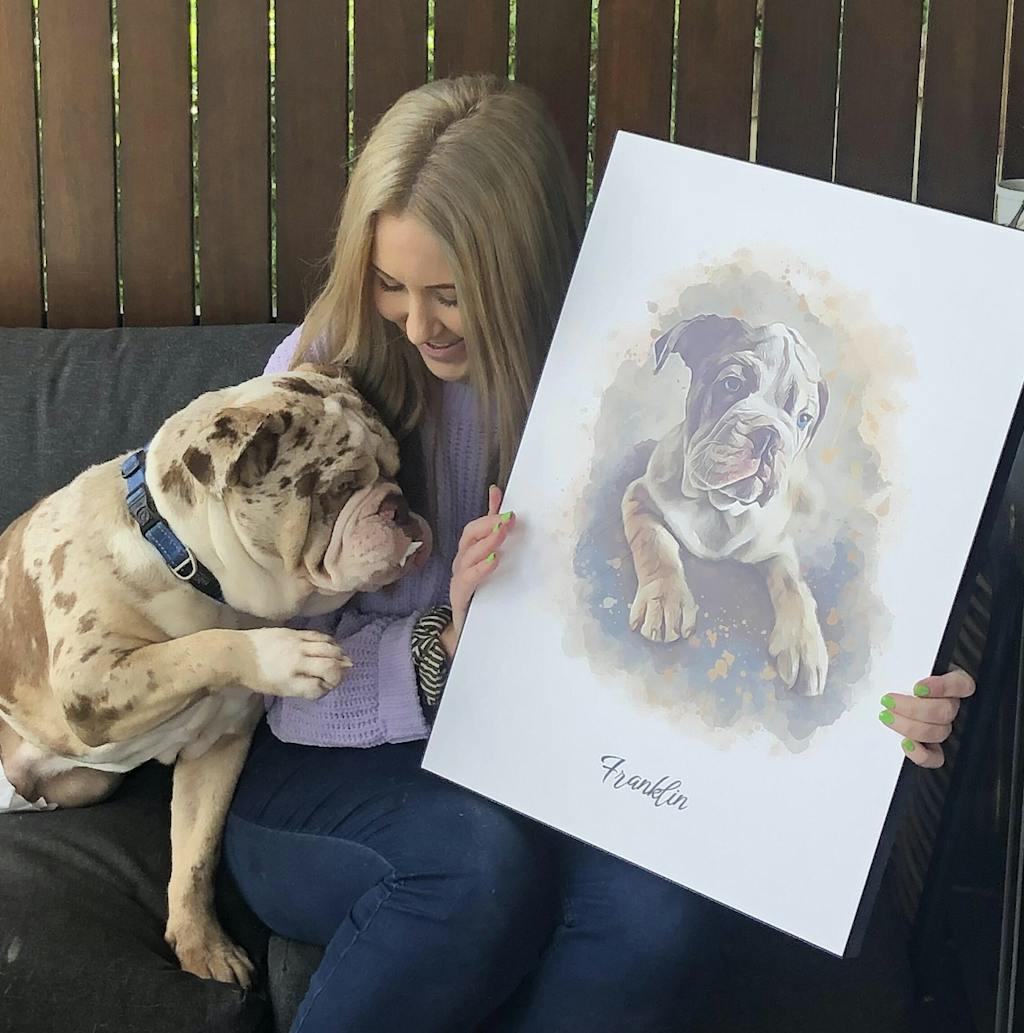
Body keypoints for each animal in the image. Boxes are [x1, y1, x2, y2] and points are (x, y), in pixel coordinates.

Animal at [0, 364, 431, 985]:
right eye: (336, 490)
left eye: (397, 469)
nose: (398, 506)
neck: (184, 560)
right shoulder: (92, 684)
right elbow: (192, 650)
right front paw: (286, 657)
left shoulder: (217, 747)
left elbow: (196, 856)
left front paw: (201, 946)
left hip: (87, 784)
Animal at [622, 314, 830, 696]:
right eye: (732, 385)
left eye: (803, 420)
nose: (770, 436)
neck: (717, 505)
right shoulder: (640, 495)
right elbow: (655, 545)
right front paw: (664, 601)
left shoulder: (777, 546)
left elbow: (794, 585)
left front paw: (804, 644)